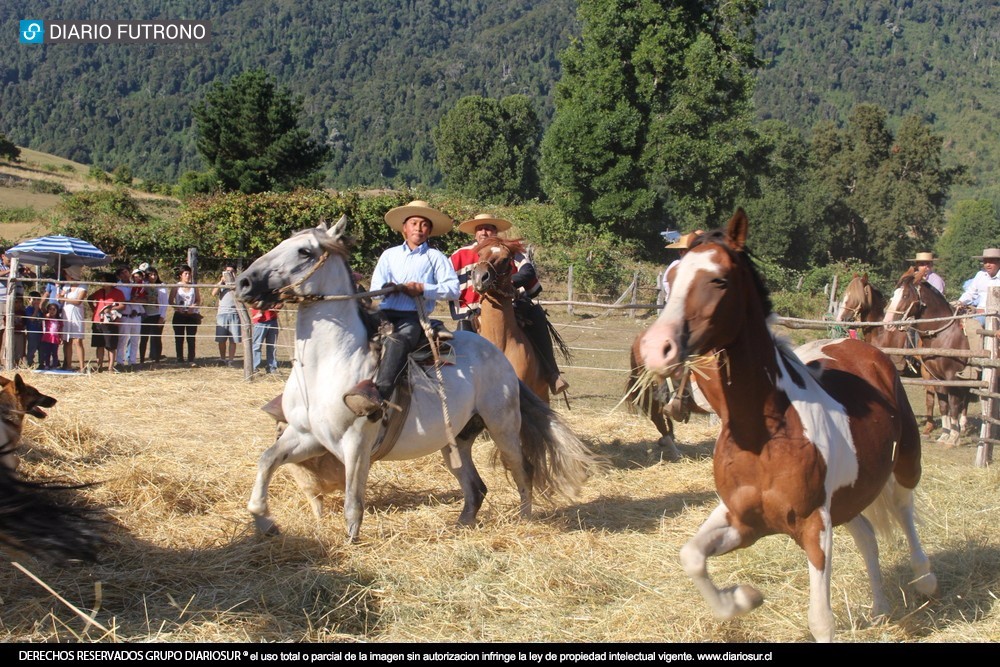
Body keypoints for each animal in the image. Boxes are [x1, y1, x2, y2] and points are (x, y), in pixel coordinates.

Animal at [235, 218, 600, 544]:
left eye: (305, 251)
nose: (244, 283)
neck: (329, 363)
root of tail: (497, 356)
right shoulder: (306, 435)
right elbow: (267, 460)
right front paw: (264, 522)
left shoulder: (356, 442)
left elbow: (353, 500)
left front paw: (351, 541)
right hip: (454, 442)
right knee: (476, 486)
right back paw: (462, 524)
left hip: (503, 427)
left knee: (522, 468)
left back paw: (524, 520)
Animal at [640, 211, 936, 644]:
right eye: (672, 276)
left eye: (718, 280)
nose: (655, 349)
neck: (765, 435)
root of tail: (861, 346)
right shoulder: (743, 519)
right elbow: (691, 555)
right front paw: (742, 598)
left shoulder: (815, 526)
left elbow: (821, 619)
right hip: (848, 497)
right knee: (867, 535)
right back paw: (881, 608)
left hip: (903, 464)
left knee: (903, 509)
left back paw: (924, 578)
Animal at [888, 270, 972, 448]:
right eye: (894, 293)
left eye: (905, 295)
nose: (888, 321)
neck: (943, 335)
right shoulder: (936, 377)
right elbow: (943, 405)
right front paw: (945, 435)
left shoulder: (952, 377)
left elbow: (953, 403)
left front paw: (953, 438)